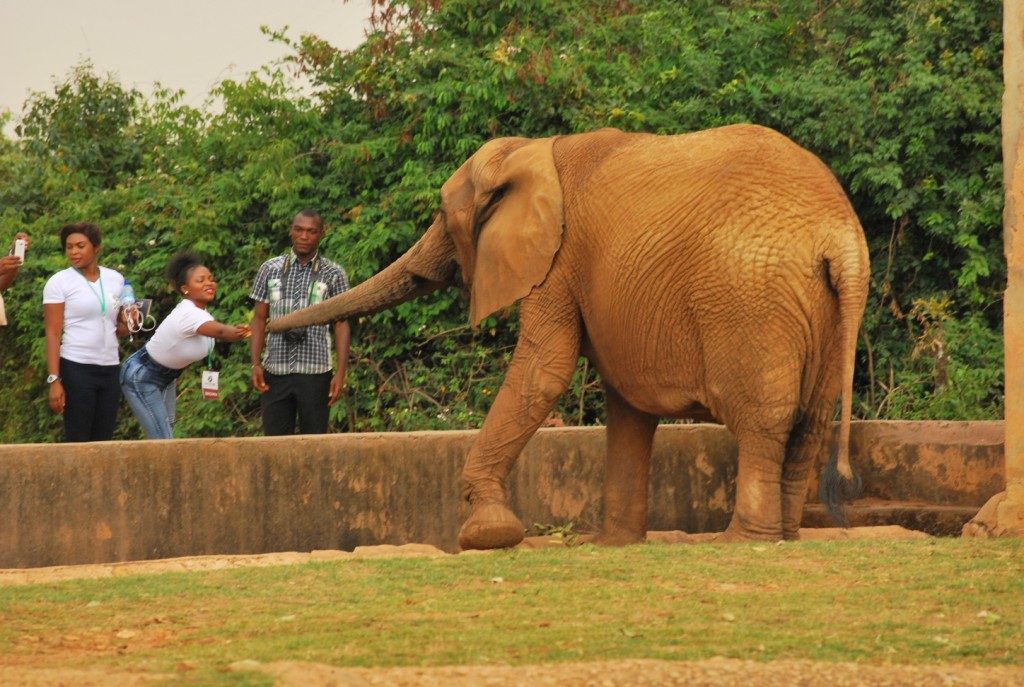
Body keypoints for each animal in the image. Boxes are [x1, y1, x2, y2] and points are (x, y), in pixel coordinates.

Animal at [268, 123, 868, 552]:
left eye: (441, 215)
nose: (263, 325)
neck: (529, 153)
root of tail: (839, 235)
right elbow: (626, 404)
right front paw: (611, 545)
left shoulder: (556, 259)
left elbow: (544, 371)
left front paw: (487, 534)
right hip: (822, 307)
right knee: (810, 422)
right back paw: (784, 537)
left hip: (750, 301)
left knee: (764, 420)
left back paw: (743, 541)